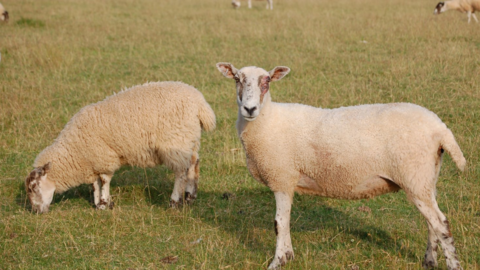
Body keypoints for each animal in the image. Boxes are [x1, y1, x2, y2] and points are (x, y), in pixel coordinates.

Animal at [23, 80, 216, 213]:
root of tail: (201, 105)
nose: (35, 211)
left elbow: (104, 180)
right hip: (189, 140)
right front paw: (100, 203)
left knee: (180, 173)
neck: (73, 150)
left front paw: (103, 204)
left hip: (176, 142)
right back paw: (190, 197)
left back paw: (174, 202)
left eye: (33, 188)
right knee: (193, 164)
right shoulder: (93, 161)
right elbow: (95, 183)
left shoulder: (104, 157)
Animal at [217, 62, 464, 270]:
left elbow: (279, 223)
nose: (250, 109)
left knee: (441, 224)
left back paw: (453, 265)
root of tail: (440, 128)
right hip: (427, 179)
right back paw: (429, 261)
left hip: (415, 176)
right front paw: (288, 256)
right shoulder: (286, 180)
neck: (267, 120)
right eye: (237, 78)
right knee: (432, 223)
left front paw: (278, 261)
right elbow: (284, 223)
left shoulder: (282, 177)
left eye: (267, 80)